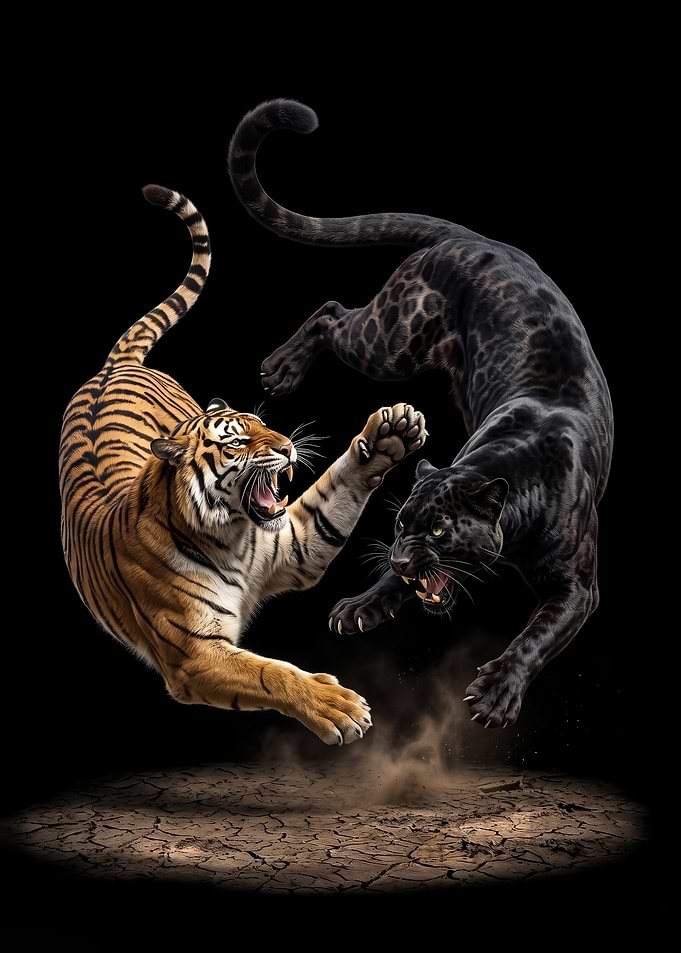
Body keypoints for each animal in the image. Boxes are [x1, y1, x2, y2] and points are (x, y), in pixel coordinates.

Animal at [59, 184, 427, 745]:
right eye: (236, 442)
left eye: (263, 422)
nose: (288, 446)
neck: (231, 536)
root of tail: (113, 368)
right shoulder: (194, 652)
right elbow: (268, 672)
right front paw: (336, 706)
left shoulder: (296, 546)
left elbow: (336, 489)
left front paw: (389, 435)